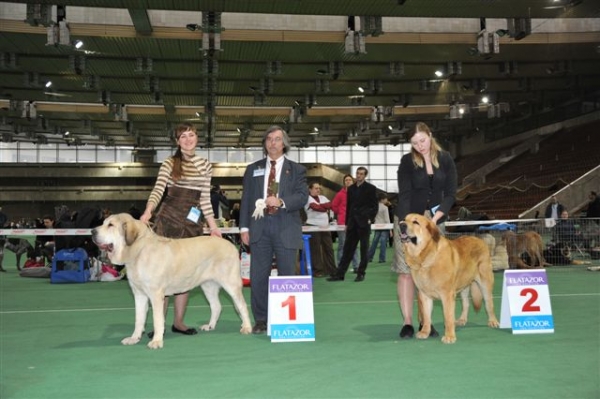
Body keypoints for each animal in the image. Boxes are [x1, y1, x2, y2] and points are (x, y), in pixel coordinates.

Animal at [92, 214, 252, 348]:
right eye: (104, 223)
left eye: (111, 225)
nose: (93, 231)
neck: (138, 251)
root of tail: (230, 245)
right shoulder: (139, 295)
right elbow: (139, 319)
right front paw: (134, 338)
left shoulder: (156, 295)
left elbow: (157, 319)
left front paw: (156, 341)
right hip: (208, 286)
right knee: (216, 306)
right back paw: (210, 325)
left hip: (231, 284)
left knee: (242, 306)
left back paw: (247, 327)